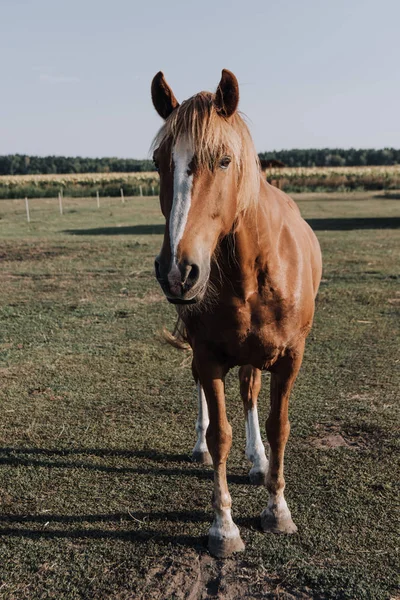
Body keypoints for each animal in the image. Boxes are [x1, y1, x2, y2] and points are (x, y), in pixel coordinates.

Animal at [150, 69, 322, 556]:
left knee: (249, 391)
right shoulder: (207, 357)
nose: (177, 271)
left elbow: (279, 425)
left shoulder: (290, 357)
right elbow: (220, 434)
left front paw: (277, 509)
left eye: (224, 160)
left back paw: (260, 461)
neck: (252, 269)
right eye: (158, 162)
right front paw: (223, 527)